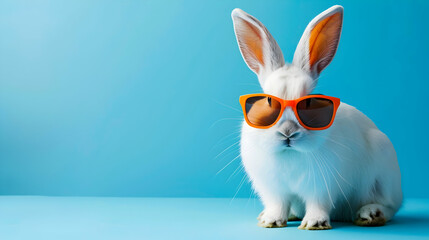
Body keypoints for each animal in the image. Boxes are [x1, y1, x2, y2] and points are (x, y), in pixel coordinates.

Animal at [231, 5, 402, 230]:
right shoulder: (274, 190)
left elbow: (317, 204)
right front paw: (271, 221)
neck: (291, 155)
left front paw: (315, 223)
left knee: (390, 206)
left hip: (384, 172)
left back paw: (371, 214)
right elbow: (278, 204)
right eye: (268, 101)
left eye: (309, 103)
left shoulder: (323, 186)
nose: (287, 132)